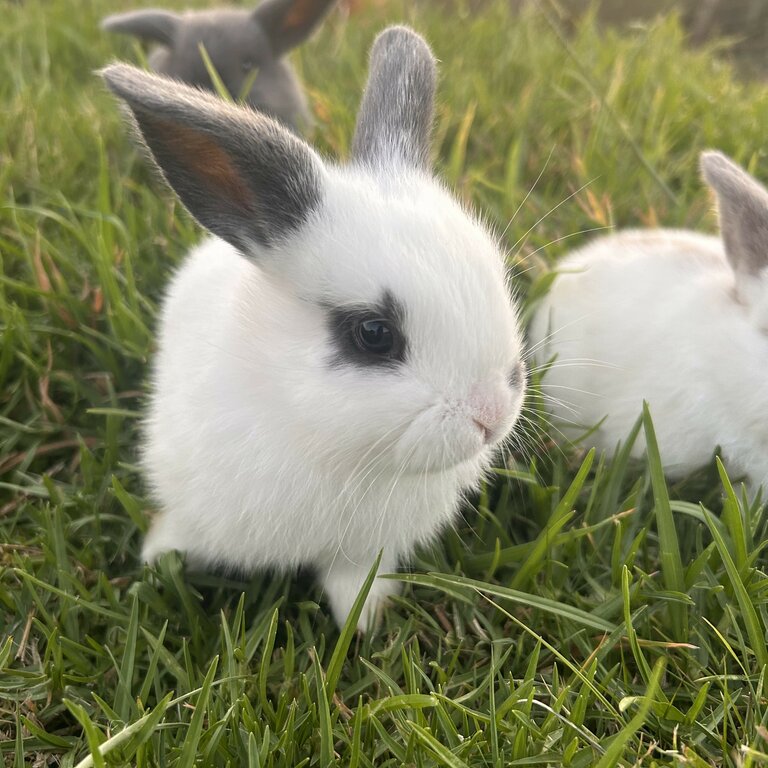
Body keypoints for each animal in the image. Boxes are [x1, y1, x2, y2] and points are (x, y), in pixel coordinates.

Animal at [100, 27, 528, 632]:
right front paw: (154, 566)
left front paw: (365, 625)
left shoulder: (363, 553)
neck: (323, 441)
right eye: (373, 333)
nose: (491, 414)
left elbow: (353, 584)